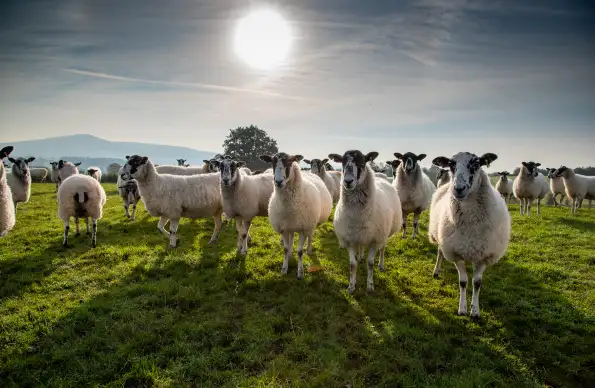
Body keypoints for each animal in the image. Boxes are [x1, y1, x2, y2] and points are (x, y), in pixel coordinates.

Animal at [328, 150, 402, 292]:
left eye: (362, 162)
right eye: (343, 162)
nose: (348, 181)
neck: (358, 215)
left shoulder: (375, 240)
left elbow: (370, 264)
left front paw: (370, 286)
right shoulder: (349, 239)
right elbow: (352, 265)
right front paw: (351, 286)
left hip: (384, 234)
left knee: (383, 248)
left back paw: (381, 265)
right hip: (361, 234)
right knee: (361, 245)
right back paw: (361, 256)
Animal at [428, 152, 512, 318]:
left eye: (476, 164)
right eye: (451, 165)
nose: (458, 188)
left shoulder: (484, 256)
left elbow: (477, 283)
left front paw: (475, 311)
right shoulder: (456, 253)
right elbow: (463, 282)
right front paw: (462, 309)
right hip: (442, 239)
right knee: (440, 253)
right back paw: (436, 271)